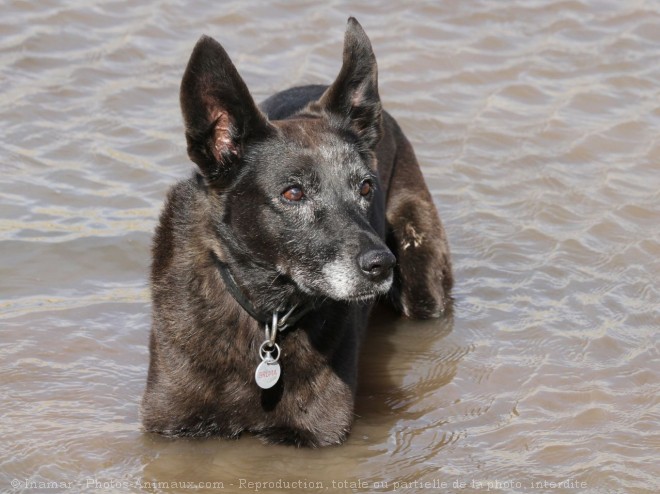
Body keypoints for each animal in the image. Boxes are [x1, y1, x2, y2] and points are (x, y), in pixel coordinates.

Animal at [142, 17, 454, 446]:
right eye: (293, 193)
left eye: (365, 188)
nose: (382, 266)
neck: (266, 315)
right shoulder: (169, 425)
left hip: (423, 281)